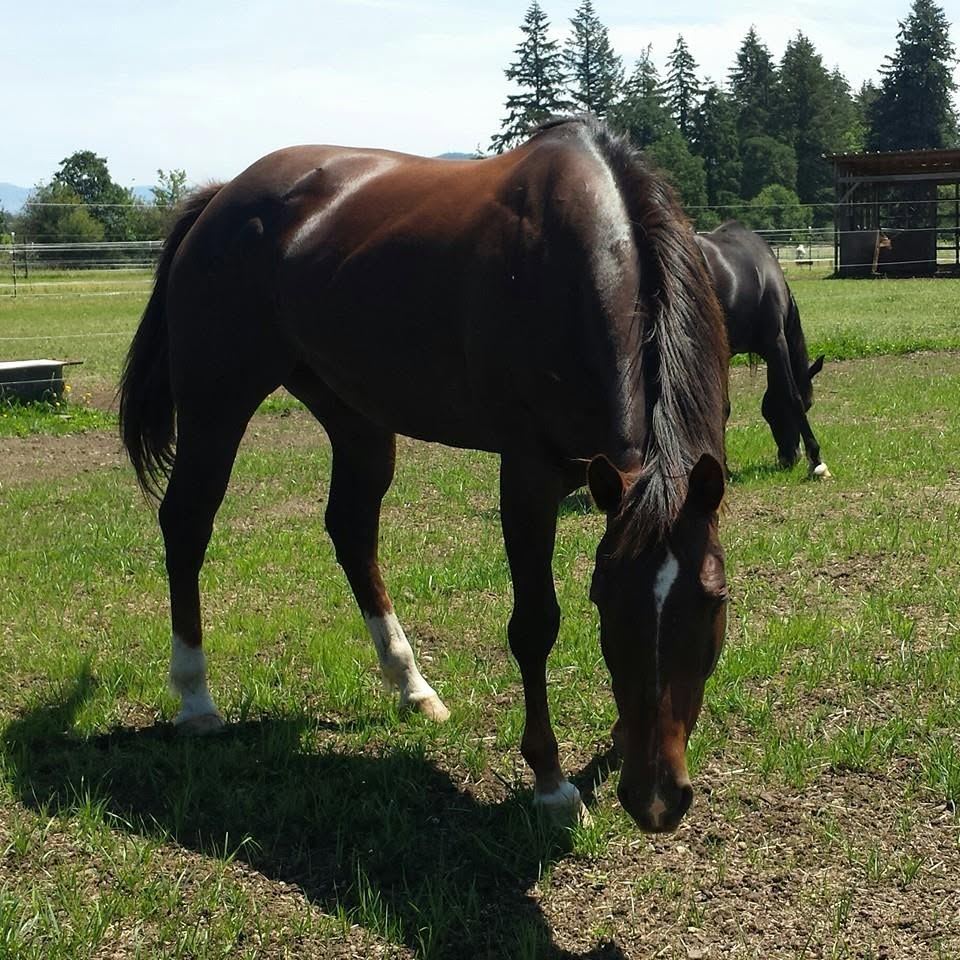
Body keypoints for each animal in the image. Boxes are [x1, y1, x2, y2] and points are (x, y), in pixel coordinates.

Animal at [119, 117, 729, 833]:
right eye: (605, 599)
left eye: (713, 600)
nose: (656, 799)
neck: (581, 263)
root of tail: (221, 197)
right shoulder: (527, 475)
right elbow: (535, 625)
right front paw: (552, 784)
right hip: (218, 403)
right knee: (187, 523)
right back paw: (195, 698)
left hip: (354, 415)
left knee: (352, 531)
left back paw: (411, 685)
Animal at [695, 221, 829, 477]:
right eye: (809, 404)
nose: (790, 457)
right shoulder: (776, 343)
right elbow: (792, 394)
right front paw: (816, 459)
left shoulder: (724, 353)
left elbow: (723, 407)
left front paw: (723, 466)